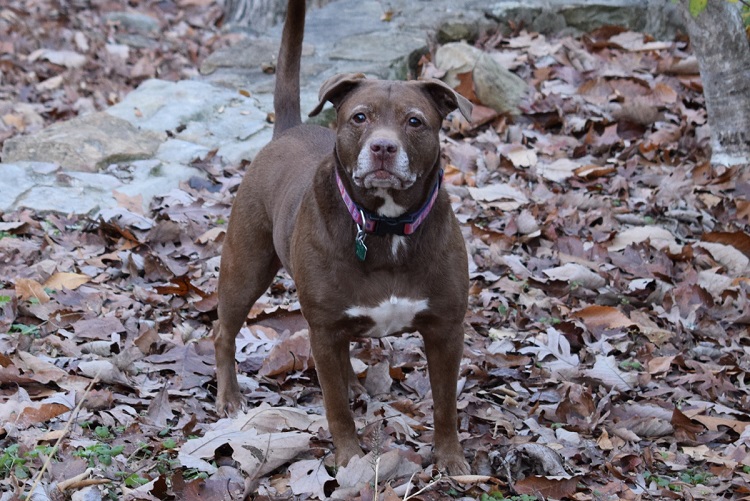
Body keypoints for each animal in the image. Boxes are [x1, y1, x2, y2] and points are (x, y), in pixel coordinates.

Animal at [212, 0, 472, 472]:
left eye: (414, 121)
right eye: (359, 117)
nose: (383, 147)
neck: (386, 227)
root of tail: (288, 129)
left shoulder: (446, 329)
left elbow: (445, 404)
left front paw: (450, 459)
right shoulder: (324, 328)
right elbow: (335, 409)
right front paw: (350, 458)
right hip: (246, 268)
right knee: (224, 331)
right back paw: (229, 397)